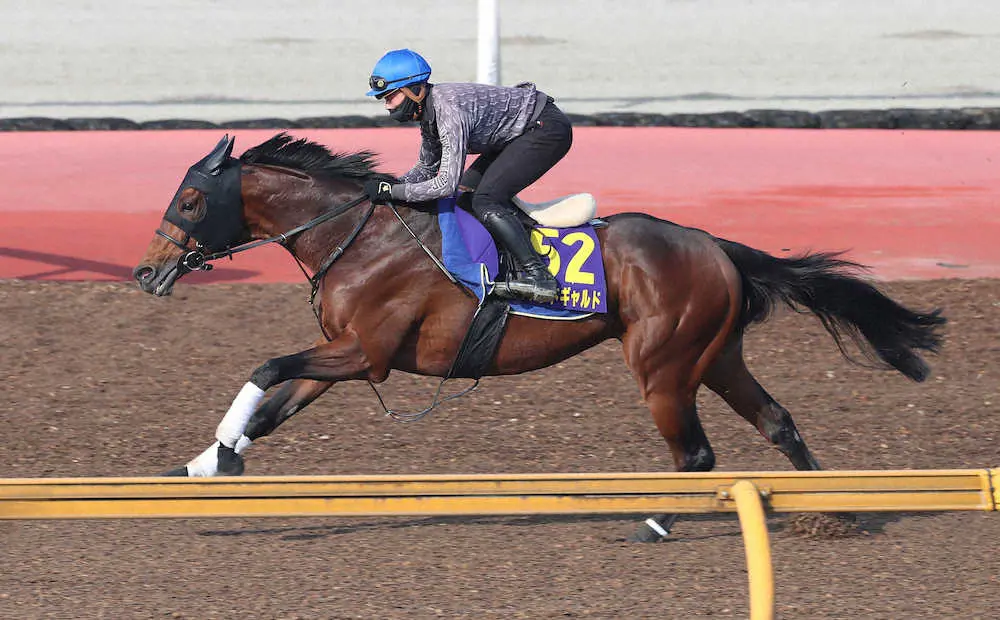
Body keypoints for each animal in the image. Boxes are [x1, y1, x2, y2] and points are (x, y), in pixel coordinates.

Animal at [133, 133, 944, 540]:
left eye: (192, 199)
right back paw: (834, 509)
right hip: (715, 358)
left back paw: (654, 522)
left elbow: (267, 368)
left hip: (664, 366)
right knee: (777, 421)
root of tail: (716, 245)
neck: (356, 236)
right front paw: (204, 465)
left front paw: (215, 459)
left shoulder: (367, 353)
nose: (146, 271)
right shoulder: (347, 354)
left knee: (697, 453)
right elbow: (271, 403)